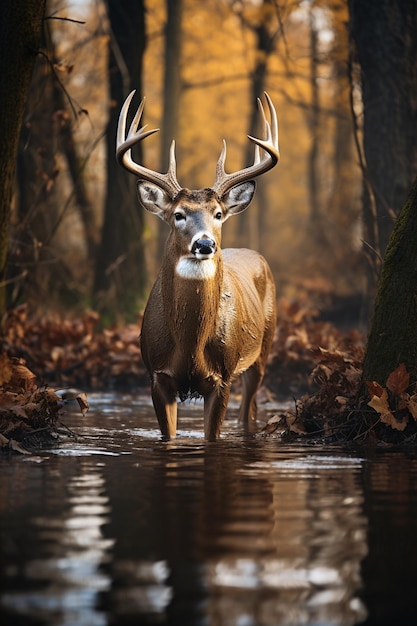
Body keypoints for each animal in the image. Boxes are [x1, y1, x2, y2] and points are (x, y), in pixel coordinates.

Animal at [115, 90, 278, 438]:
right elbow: (168, 435)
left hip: (263, 349)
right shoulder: (157, 375)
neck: (190, 345)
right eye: (178, 215)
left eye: (218, 214)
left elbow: (212, 437)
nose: (205, 244)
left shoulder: (222, 377)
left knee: (249, 407)